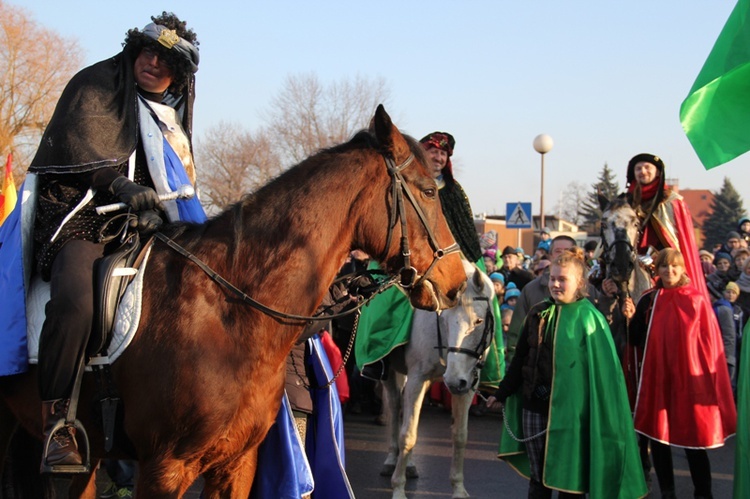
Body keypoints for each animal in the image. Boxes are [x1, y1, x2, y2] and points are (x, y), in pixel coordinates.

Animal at [378, 262, 496, 499]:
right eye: (444, 320)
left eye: (478, 320)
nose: (453, 381)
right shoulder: (417, 379)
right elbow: (407, 435)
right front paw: (398, 488)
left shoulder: (468, 385)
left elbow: (460, 436)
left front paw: (458, 489)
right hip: (392, 375)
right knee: (395, 408)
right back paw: (392, 458)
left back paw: (410, 464)